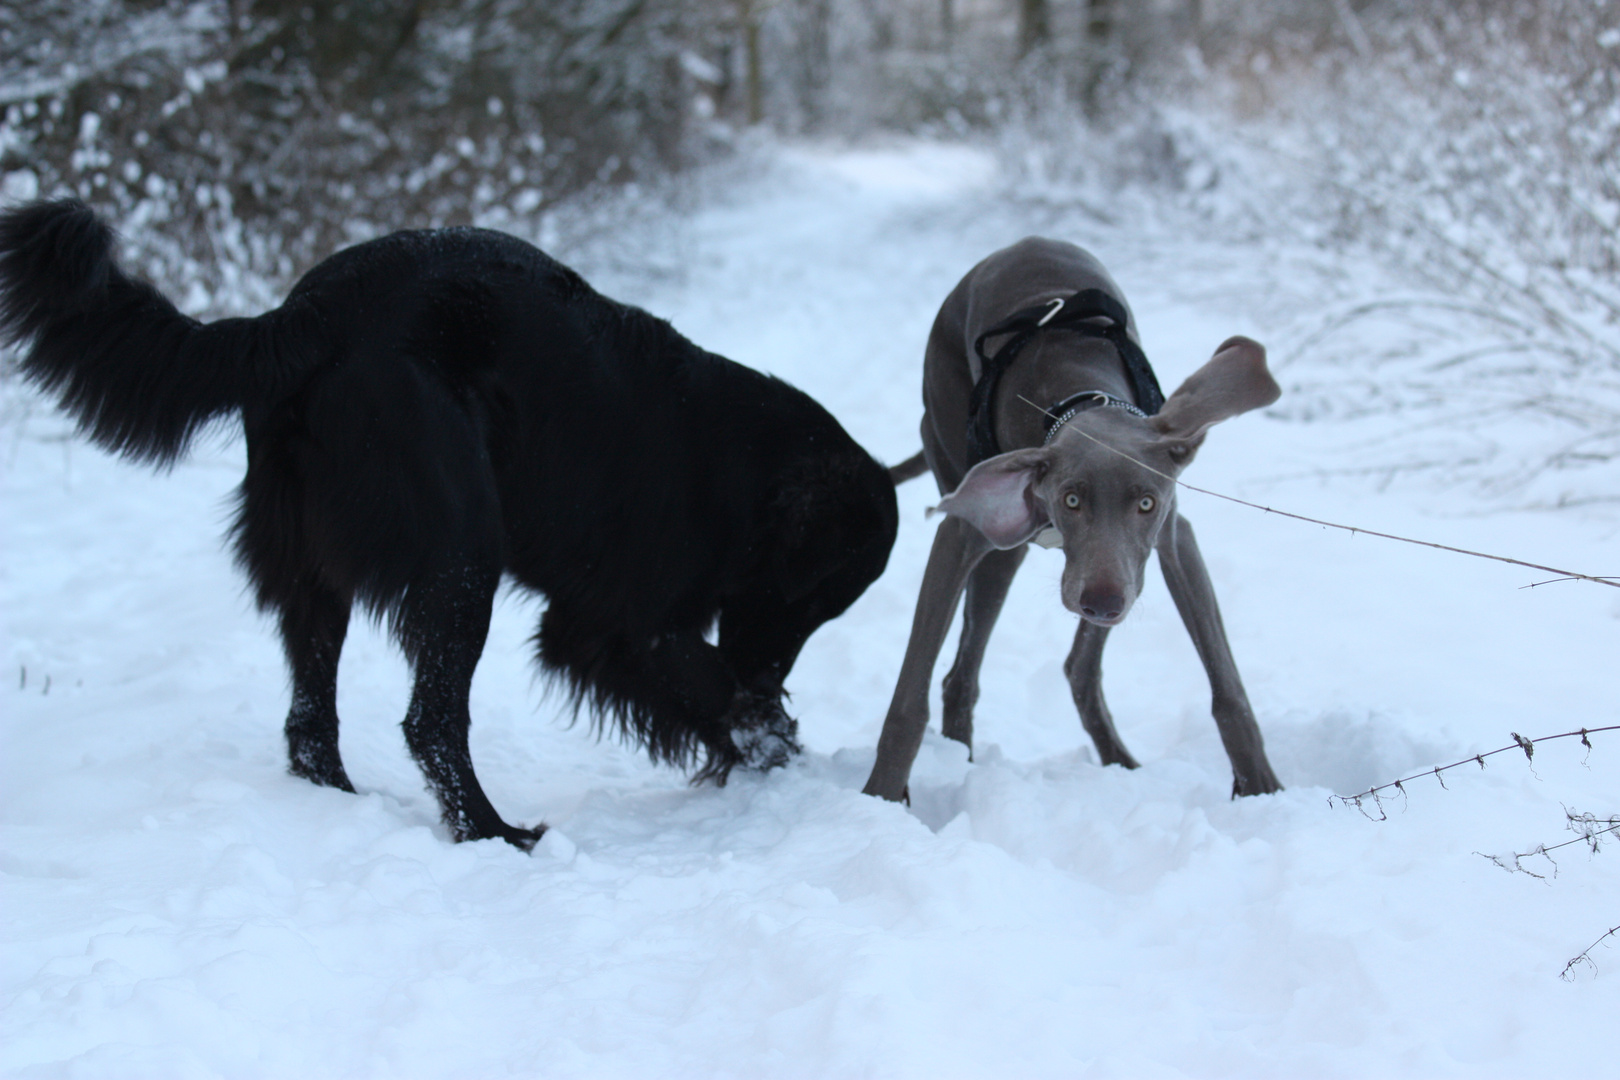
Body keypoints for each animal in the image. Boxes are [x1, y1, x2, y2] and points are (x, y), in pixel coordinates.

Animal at [0, 198, 900, 848]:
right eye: (809, 598)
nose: (771, 670)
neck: (746, 472)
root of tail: (310, 312)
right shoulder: (616, 622)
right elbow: (711, 686)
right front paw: (769, 742)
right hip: (461, 548)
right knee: (430, 720)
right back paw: (493, 832)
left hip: (313, 568)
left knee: (310, 721)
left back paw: (343, 804)